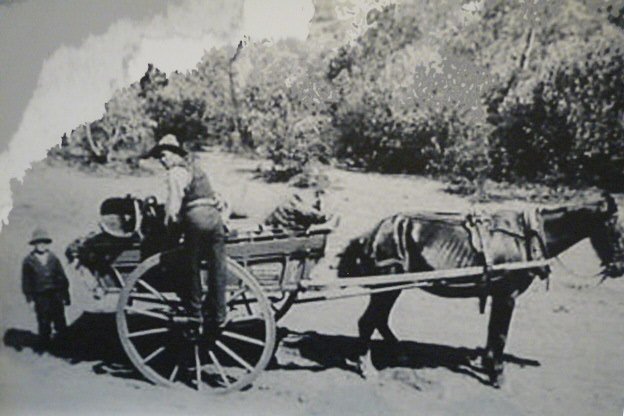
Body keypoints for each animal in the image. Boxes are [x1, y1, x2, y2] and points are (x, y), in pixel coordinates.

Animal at [336, 193, 624, 386]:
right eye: (618, 231)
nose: (619, 267)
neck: (528, 236)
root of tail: (373, 233)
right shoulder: (507, 296)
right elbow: (500, 335)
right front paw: (497, 374)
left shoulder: (499, 296)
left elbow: (492, 332)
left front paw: (486, 364)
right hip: (388, 285)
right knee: (368, 321)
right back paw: (365, 365)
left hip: (393, 286)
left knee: (379, 320)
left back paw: (400, 353)